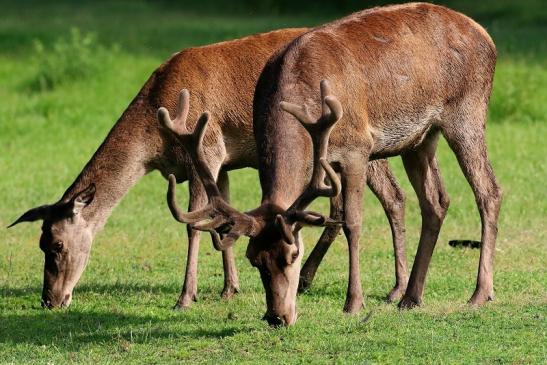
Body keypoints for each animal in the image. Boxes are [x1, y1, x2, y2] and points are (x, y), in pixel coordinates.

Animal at [7, 27, 412, 308]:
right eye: (40, 242)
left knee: (388, 197)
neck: (155, 140)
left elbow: (192, 226)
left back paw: (394, 290)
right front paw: (229, 288)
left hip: (356, 141)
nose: (49, 300)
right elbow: (222, 223)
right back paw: (323, 279)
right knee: (352, 203)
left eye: (57, 245)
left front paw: (186, 297)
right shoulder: (222, 165)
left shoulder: (206, 148)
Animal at [165, 2, 504, 328]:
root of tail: (486, 35)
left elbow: (352, 222)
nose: (277, 317)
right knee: (435, 201)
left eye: (292, 254)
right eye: (255, 259)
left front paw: (353, 303)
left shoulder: (357, 147)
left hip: (467, 112)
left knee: (489, 191)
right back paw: (411, 296)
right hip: (420, 139)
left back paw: (480, 293)